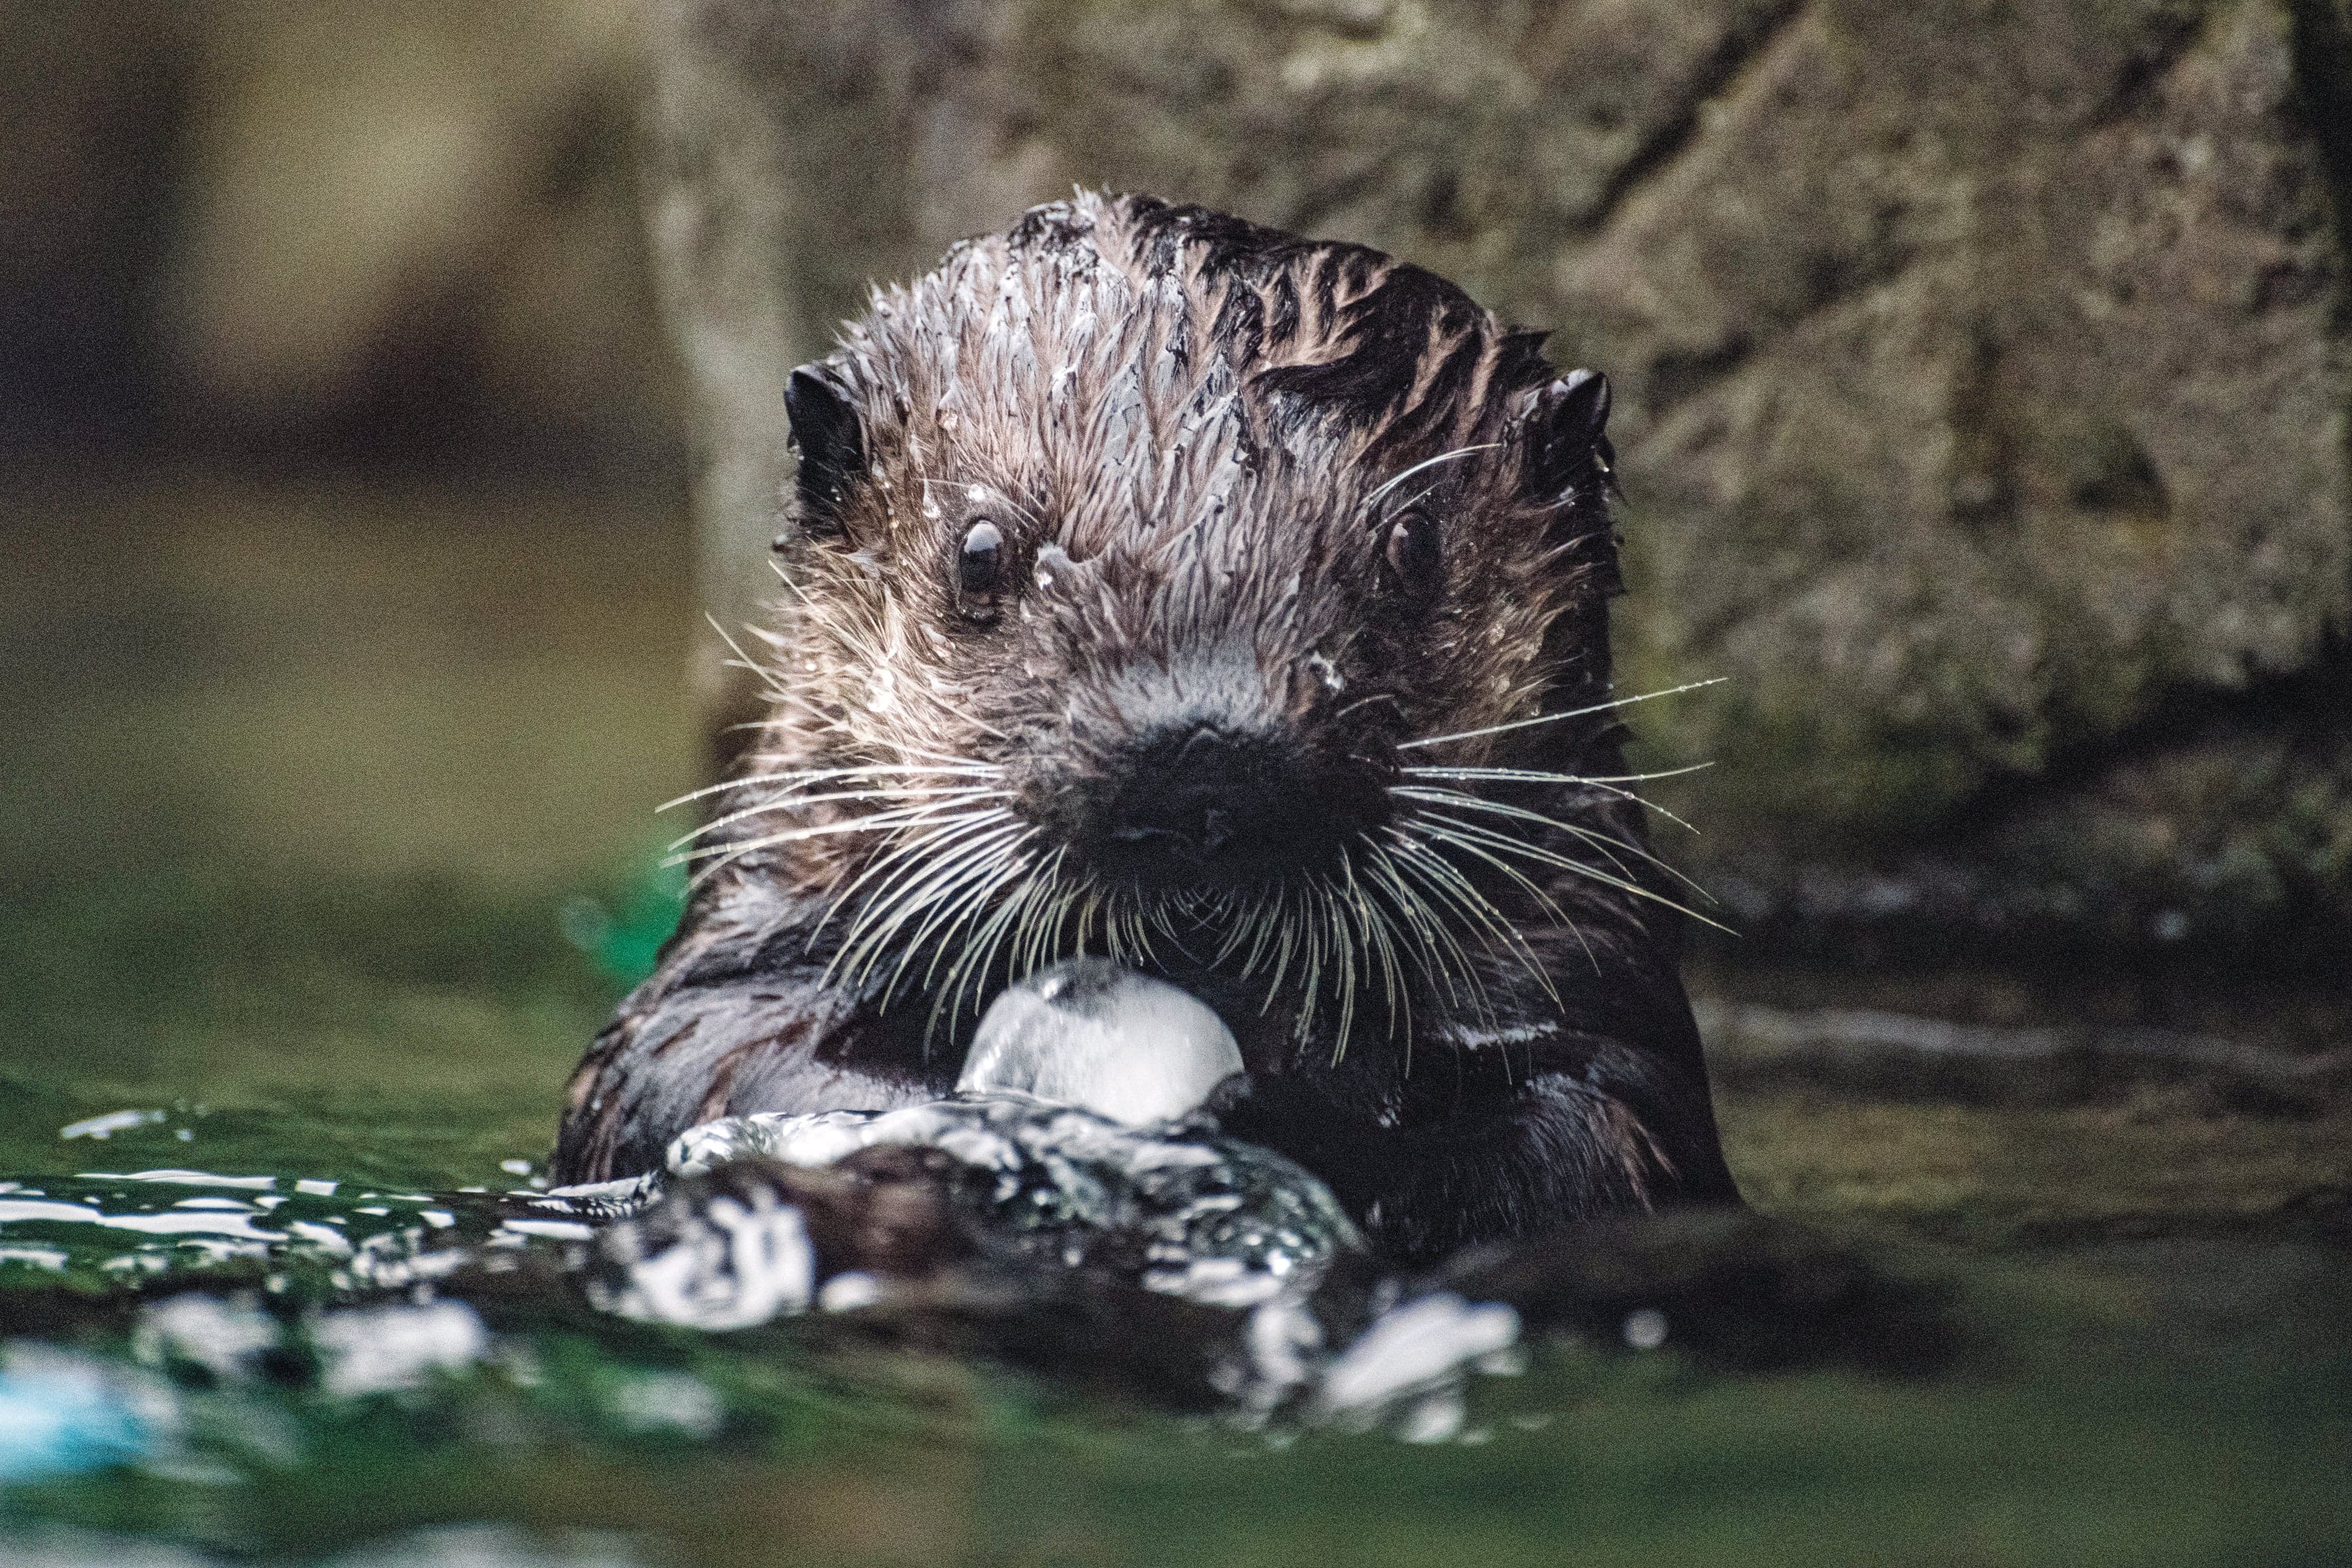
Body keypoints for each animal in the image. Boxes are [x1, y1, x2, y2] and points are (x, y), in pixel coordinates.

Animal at [553, 192, 1739, 1262]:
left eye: (1412, 547)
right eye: (980, 552)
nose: (1202, 757)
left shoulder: (1593, 987)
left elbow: (1600, 1127)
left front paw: (1275, 1119)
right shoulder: (751, 933)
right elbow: (684, 1056)